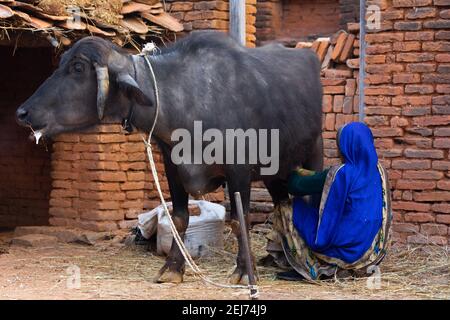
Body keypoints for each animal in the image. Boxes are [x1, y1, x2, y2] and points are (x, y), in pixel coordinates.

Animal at [14, 31, 324, 284]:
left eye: (77, 68)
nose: (22, 112)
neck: (189, 98)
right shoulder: (173, 166)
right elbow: (179, 219)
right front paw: (173, 268)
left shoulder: (239, 170)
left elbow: (241, 221)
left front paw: (245, 272)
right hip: (276, 170)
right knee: (282, 205)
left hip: (314, 149)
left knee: (311, 199)